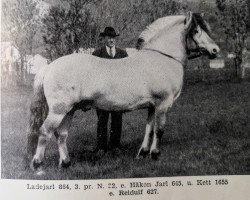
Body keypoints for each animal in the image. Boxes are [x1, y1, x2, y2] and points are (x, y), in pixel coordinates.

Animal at [26, 11, 219, 170]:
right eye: (195, 31)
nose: (215, 50)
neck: (162, 58)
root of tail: (49, 66)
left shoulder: (152, 106)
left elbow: (149, 129)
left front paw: (143, 153)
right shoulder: (163, 104)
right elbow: (159, 130)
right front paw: (155, 154)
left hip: (69, 110)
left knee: (61, 134)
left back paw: (66, 163)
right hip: (58, 110)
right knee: (45, 132)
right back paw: (38, 164)